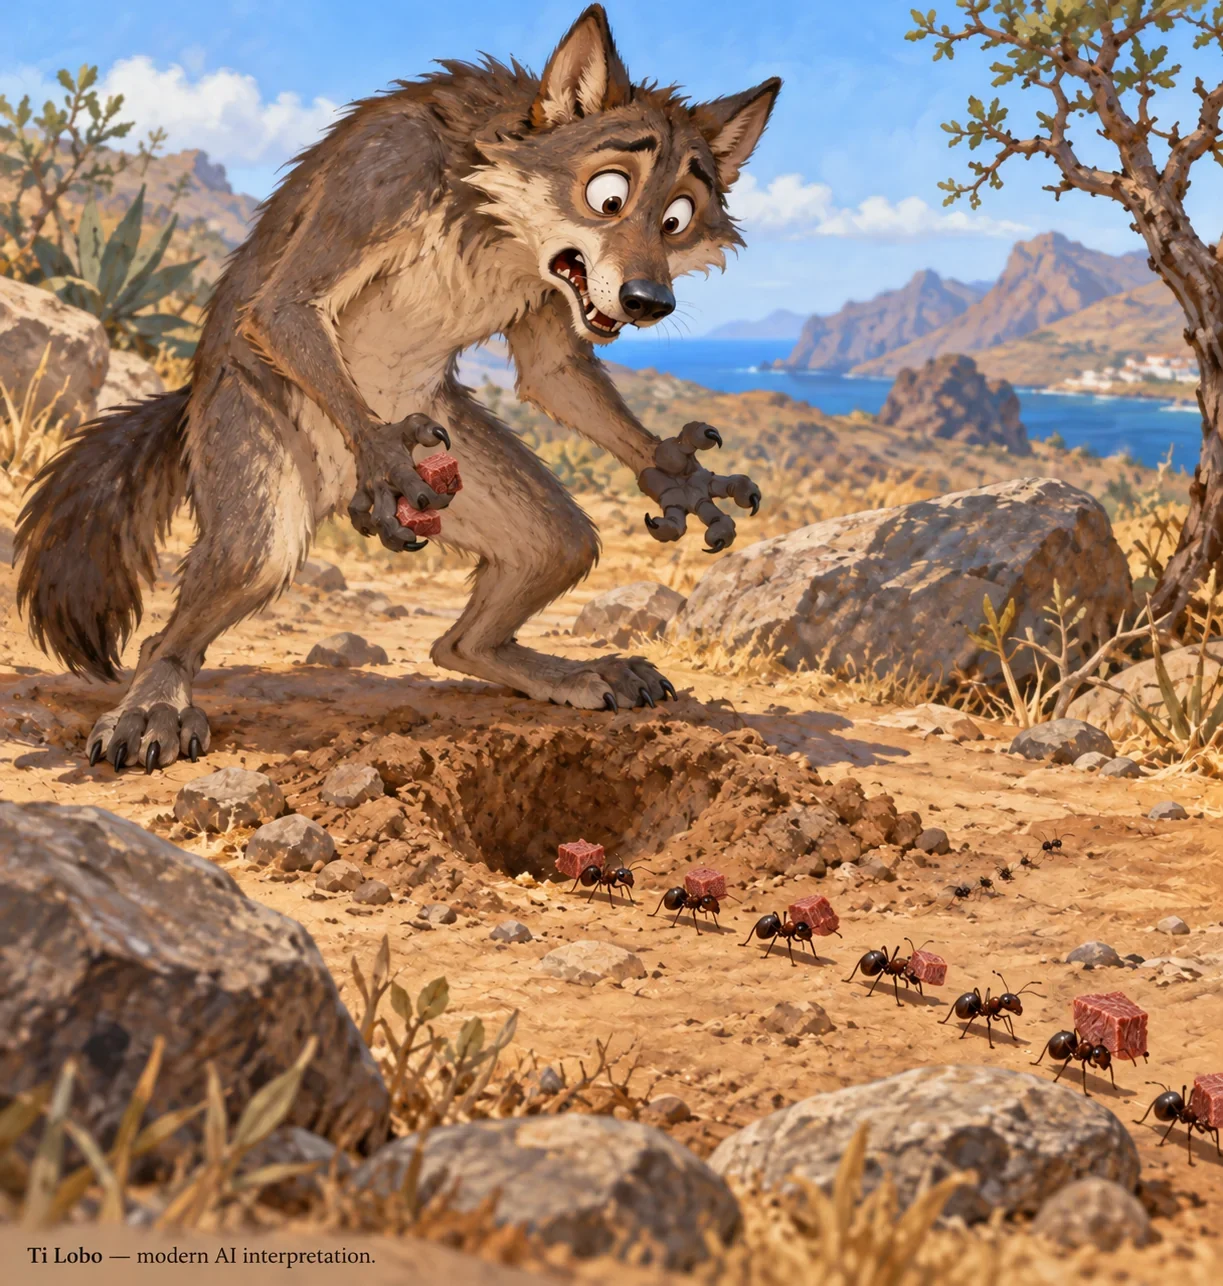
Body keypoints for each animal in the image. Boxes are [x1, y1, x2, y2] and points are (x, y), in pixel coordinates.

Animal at [15, 5, 778, 772]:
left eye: (677, 218)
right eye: (609, 196)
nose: (650, 301)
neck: (492, 221)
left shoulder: (555, 312)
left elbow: (557, 374)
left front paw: (679, 476)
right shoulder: (384, 170)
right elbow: (284, 306)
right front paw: (383, 456)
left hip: (509, 501)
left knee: (477, 624)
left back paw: (577, 673)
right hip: (255, 498)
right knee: (178, 625)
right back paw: (152, 709)